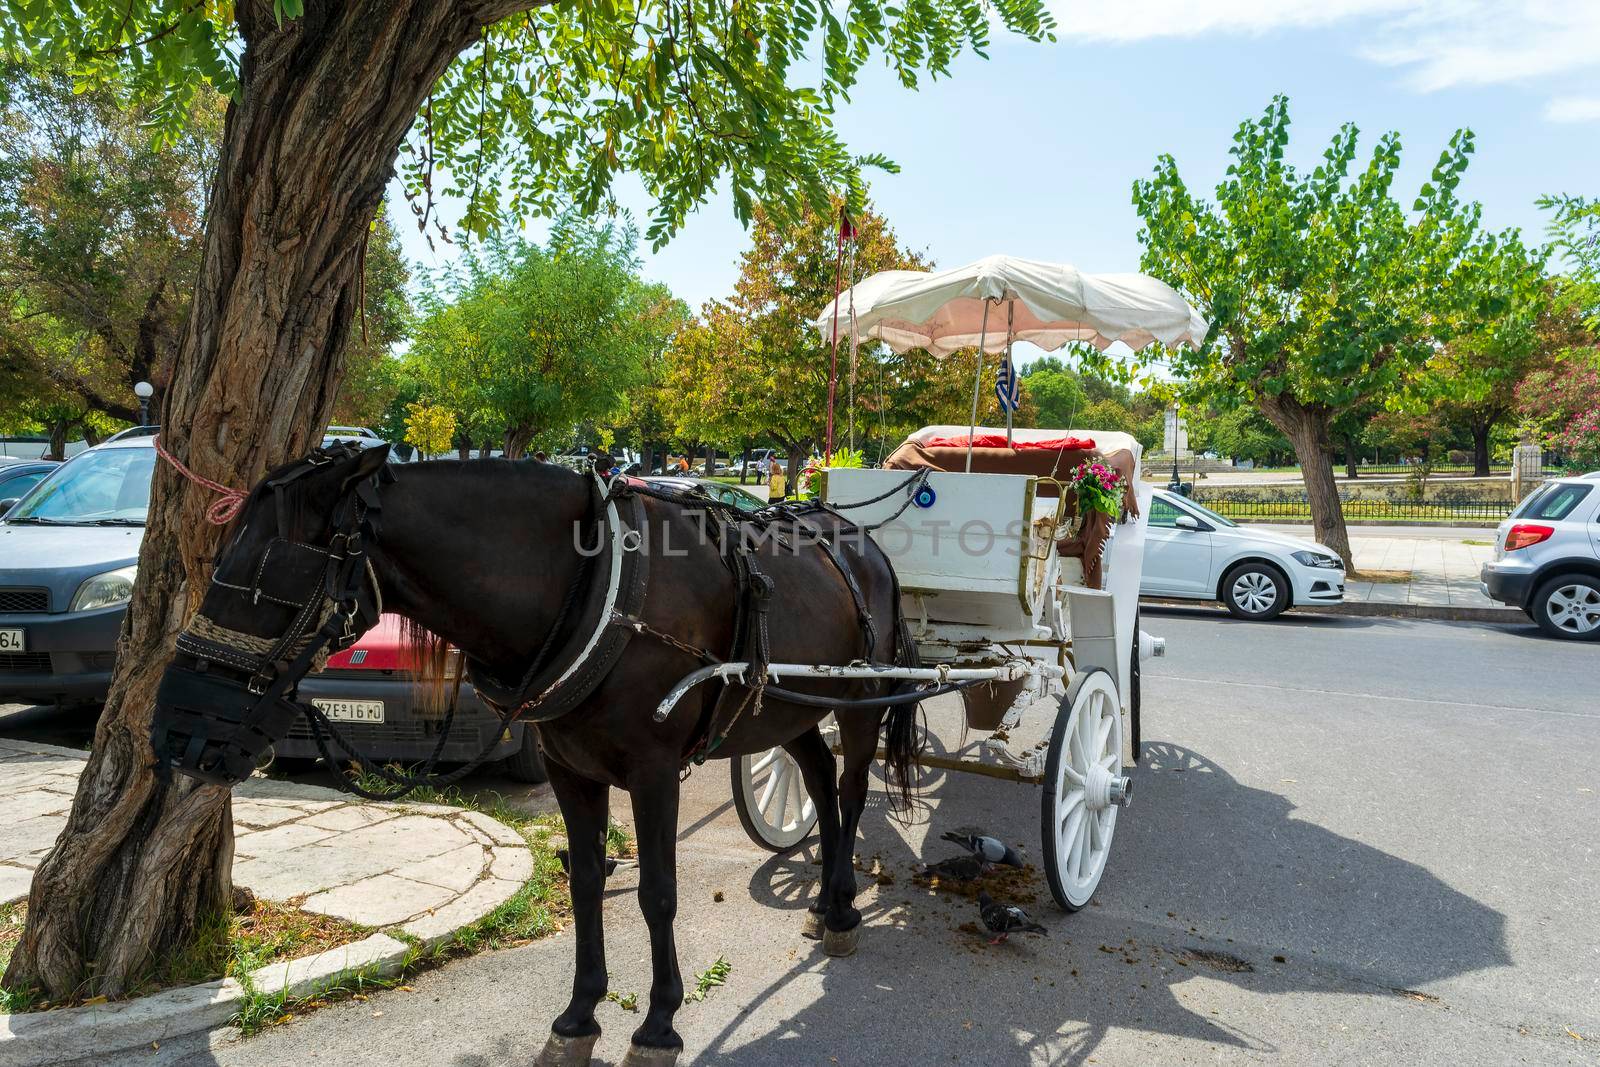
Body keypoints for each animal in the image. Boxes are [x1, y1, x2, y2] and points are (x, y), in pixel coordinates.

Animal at [152, 441, 928, 1067]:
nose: (177, 735)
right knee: (819, 781)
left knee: (852, 789)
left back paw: (843, 908)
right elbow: (584, 882)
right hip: (788, 709)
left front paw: (659, 1023)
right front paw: (580, 1015)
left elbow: (657, 891)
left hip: (862, 701)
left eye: (269, 580)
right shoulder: (569, 769)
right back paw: (824, 902)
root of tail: (860, 540)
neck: (597, 586)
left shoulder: (653, 772)